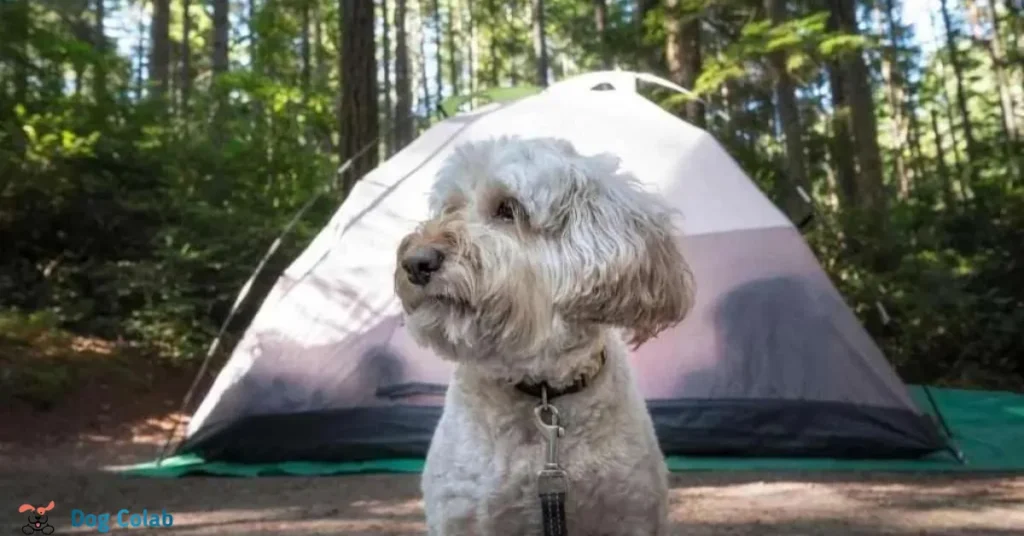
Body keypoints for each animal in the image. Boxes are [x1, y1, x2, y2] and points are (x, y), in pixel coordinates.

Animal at [393, 136, 696, 532]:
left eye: (508, 208)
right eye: (449, 207)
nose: (415, 262)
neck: (542, 392)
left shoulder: (631, 514)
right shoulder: (462, 518)